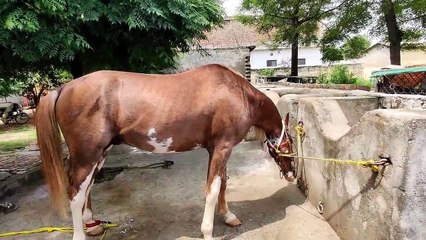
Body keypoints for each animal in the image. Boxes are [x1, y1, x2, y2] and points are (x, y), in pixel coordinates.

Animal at [35, 63, 292, 240]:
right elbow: (212, 189)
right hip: (86, 155)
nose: (291, 175)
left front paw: (228, 217)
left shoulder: (217, 149)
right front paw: (208, 232)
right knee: (75, 194)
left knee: (86, 188)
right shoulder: (223, 148)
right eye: (287, 146)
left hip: (99, 154)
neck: (237, 93)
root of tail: (64, 88)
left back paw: (93, 225)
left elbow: (222, 184)